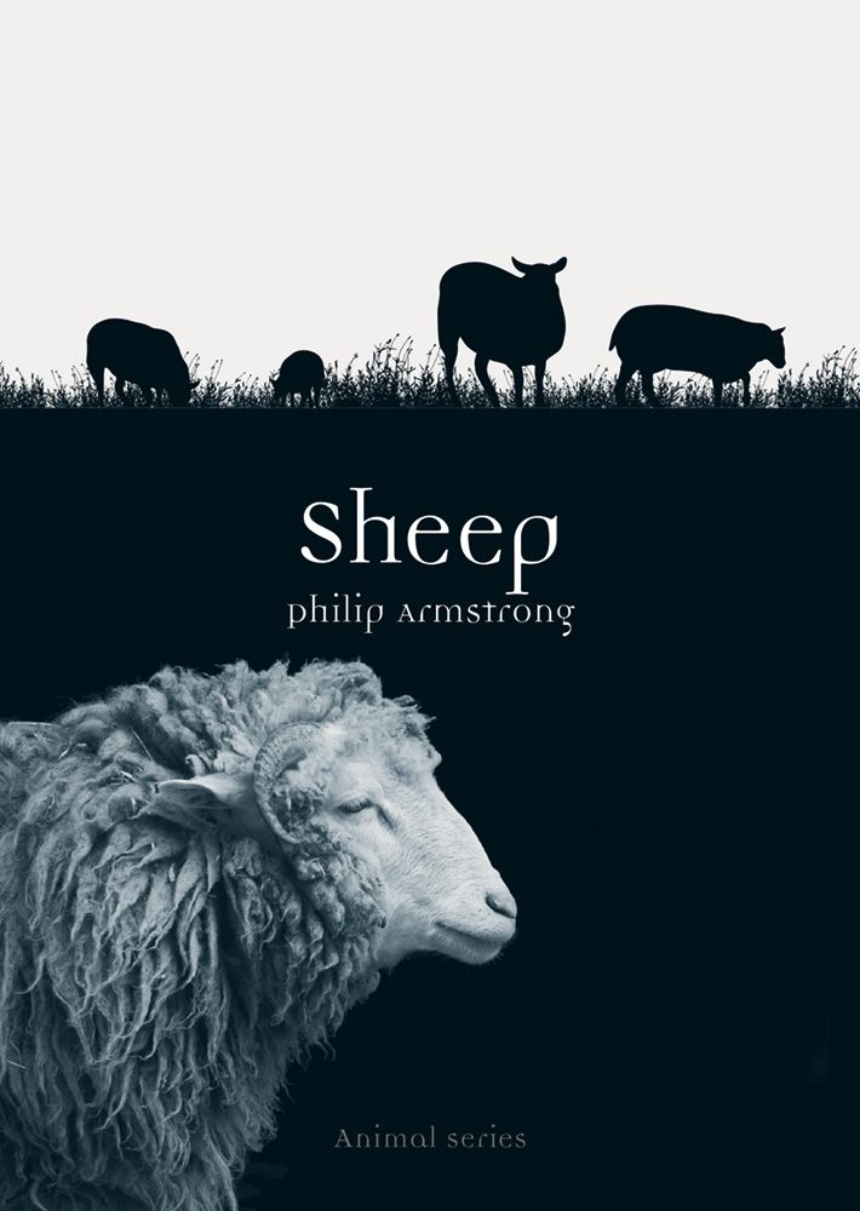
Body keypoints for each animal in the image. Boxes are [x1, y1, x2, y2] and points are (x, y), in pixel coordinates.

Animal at [437, 257, 567, 408]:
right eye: (526, 281)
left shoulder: (541, 357)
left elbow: (539, 387)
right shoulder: (514, 357)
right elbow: (519, 388)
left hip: (485, 344)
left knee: (479, 366)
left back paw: (495, 403)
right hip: (447, 330)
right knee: (450, 365)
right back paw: (457, 402)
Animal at [610, 305, 786, 407]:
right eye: (775, 344)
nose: (783, 363)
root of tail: (618, 326)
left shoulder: (732, 370)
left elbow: (746, 377)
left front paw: (746, 399)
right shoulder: (719, 371)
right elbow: (719, 393)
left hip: (638, 364)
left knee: (634, 387)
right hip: (636, 361)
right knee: (634, 387)